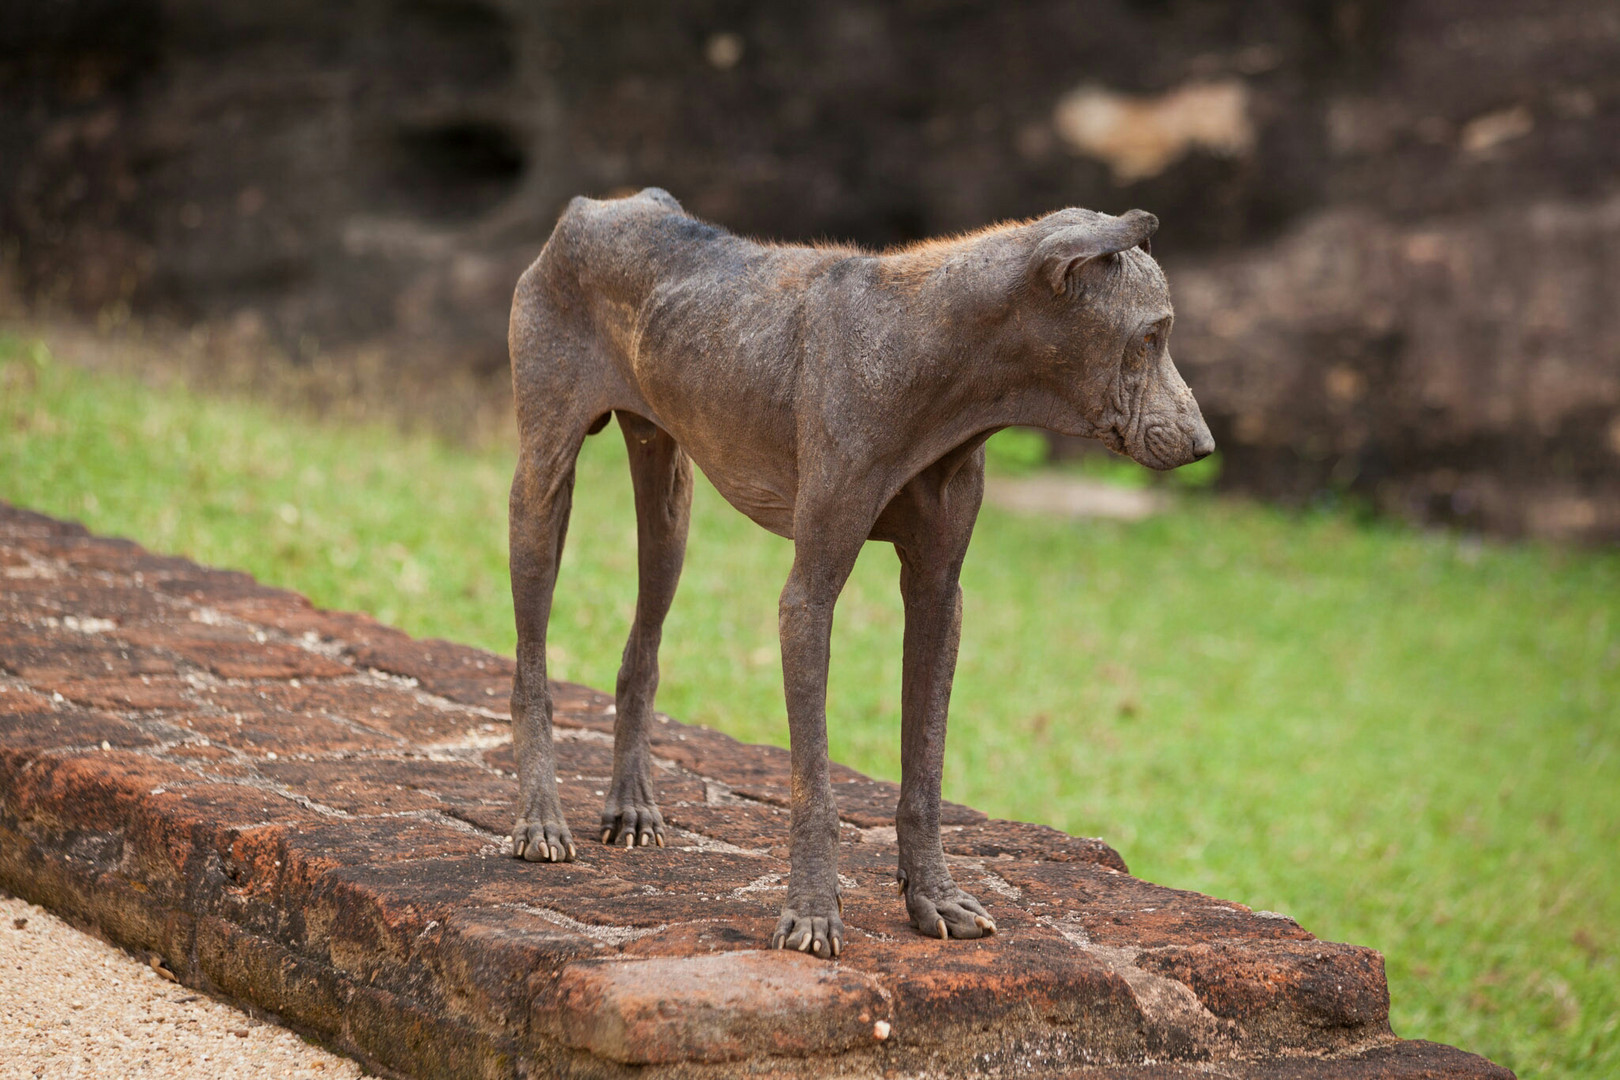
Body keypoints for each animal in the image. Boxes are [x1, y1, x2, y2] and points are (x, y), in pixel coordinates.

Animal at [505, 187, 1218, 965]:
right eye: (1150, 336)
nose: (1206, 445)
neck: (933, 358)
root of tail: (603, 205)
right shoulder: (807, 598)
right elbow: (814, 787)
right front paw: (812, 912)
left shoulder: (939, 595)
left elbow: (926, 770)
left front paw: (931, 895)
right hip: (542, 491)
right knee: (531, 668)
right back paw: (539, 819)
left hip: (669, 509)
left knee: (640, 658)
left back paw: (632, 804)